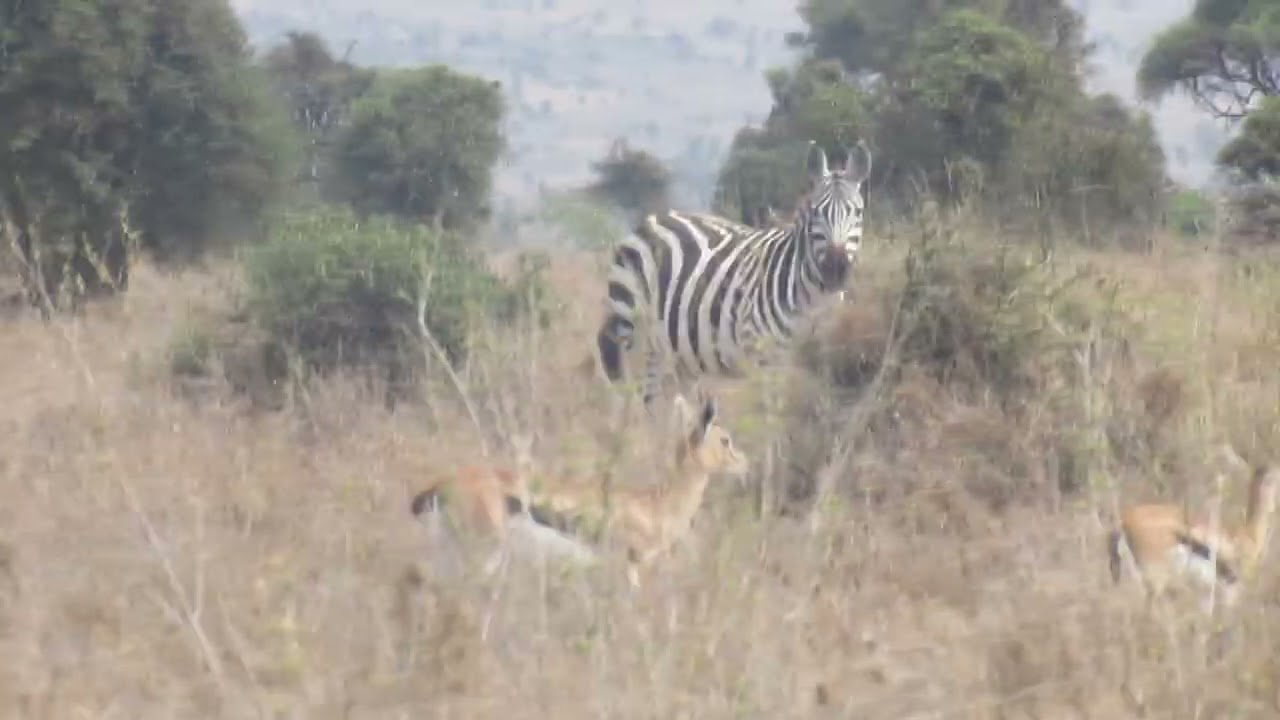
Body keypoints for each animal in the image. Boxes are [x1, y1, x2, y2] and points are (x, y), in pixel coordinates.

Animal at [594, 140, 872, 412]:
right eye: (815, 212)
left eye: (858, 212)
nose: (835, 268)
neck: (815, 297)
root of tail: (650, 221)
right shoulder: (763, 353)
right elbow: (772, 412)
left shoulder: (828, 355)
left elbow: (822, 409)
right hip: (636, 333)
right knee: (642, 398)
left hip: (680, 350)